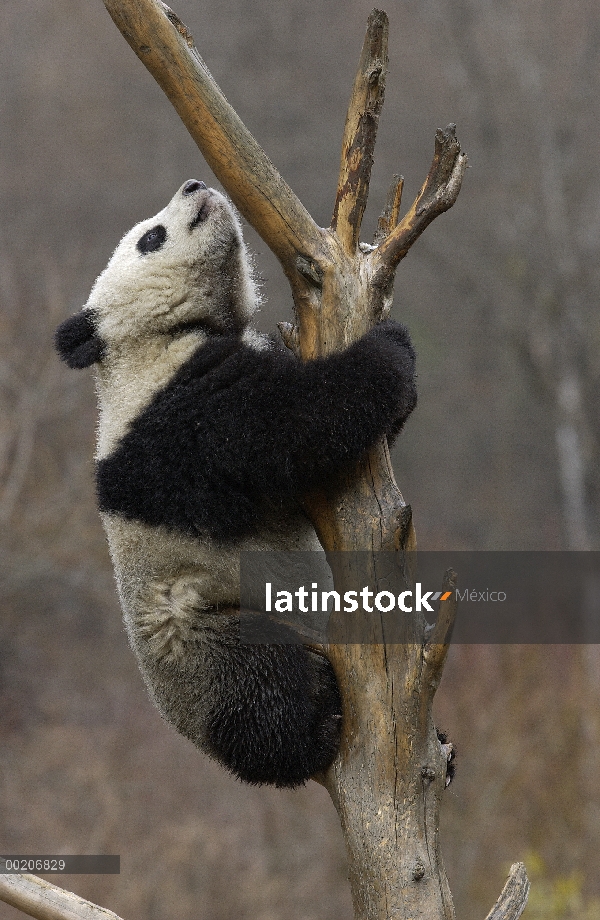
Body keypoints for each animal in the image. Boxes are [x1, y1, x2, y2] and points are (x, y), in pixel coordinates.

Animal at [56, 181, 420, 792]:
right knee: (262, 685)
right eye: (151, 237)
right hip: (204, 639)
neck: (147, 341)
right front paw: (386, 351)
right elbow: (290, 427)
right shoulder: (176, 416)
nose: (194, 185)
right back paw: (312, 731)